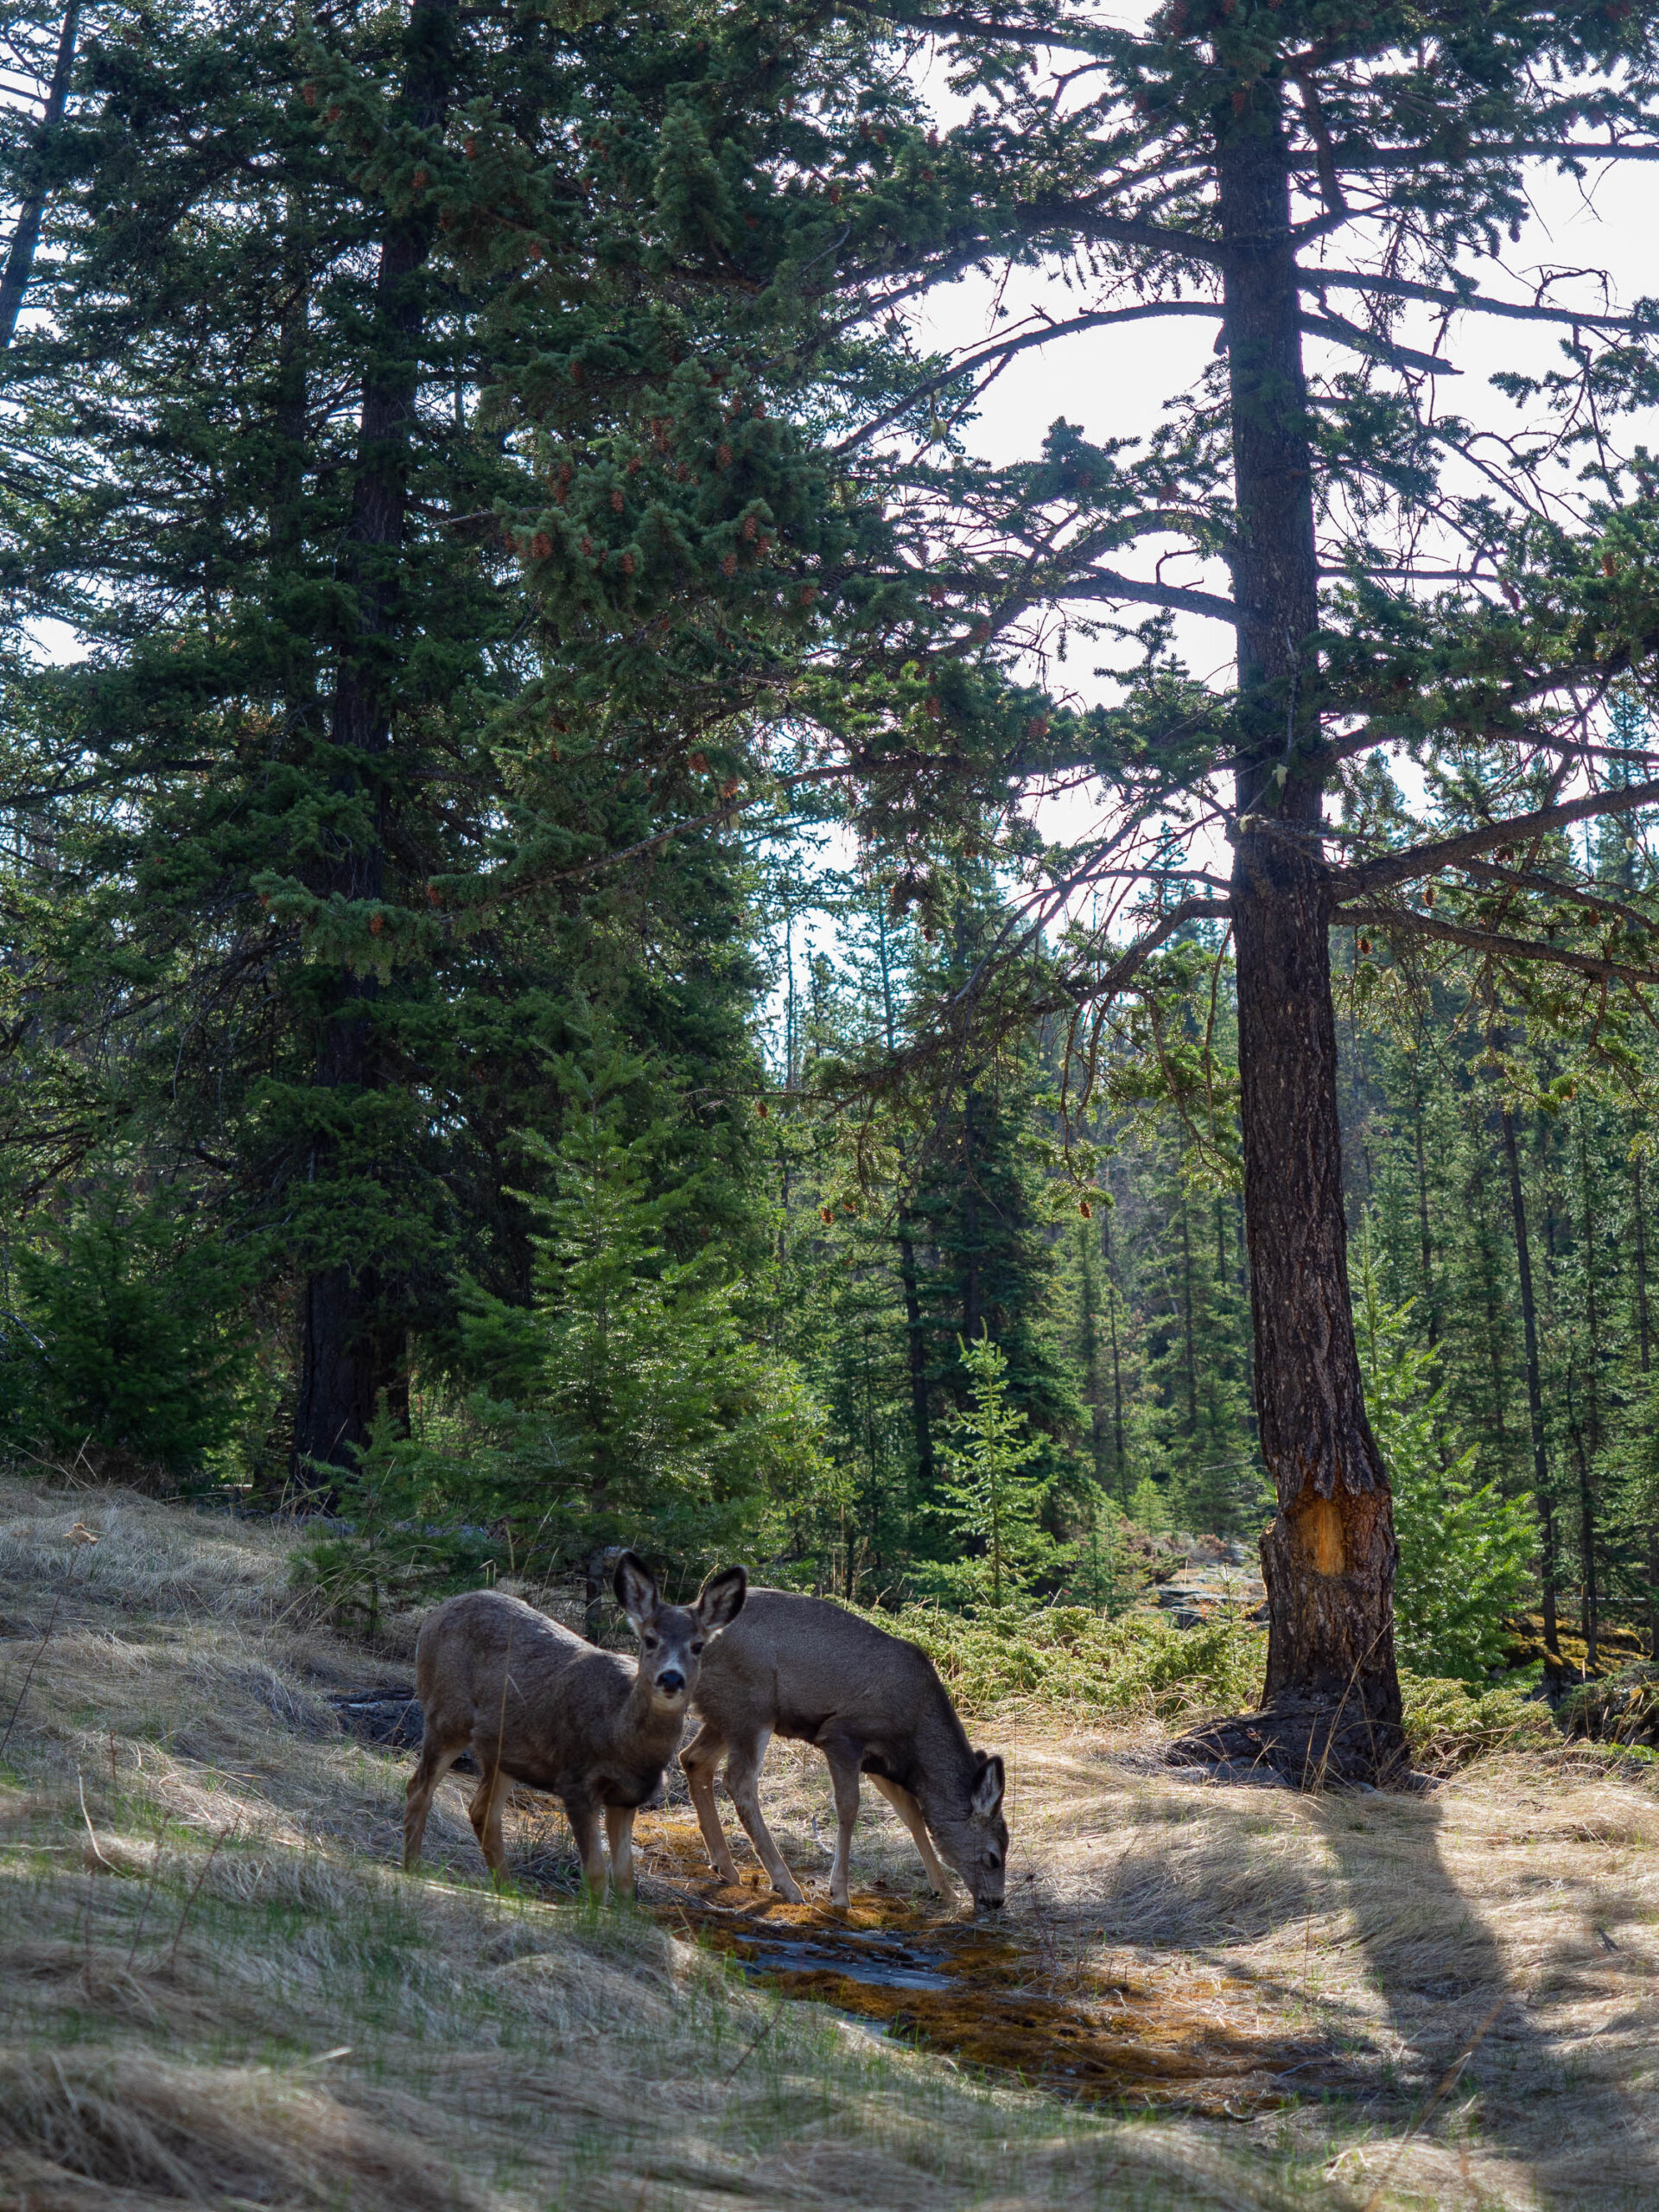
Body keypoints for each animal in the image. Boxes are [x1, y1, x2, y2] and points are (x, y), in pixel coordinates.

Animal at [402, 1548, 747, 1893]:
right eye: (650, 1640)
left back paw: (507, 1889)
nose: (671, 1678)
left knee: (482, 1810)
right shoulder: (577, 1782)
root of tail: (437, 1612)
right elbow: (595, 1873)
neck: (622, 1736)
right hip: (446, 1716)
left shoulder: (627, 1797)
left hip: (504, 1750)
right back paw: (413, 1869)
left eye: (698, 1646)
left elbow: (625, 1878)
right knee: (418, 1788)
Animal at [677, 1592, 1013, 1920]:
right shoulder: (843, 1735)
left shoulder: (880, 1762)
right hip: (751, 1706)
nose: (996, 1901)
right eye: (993, 1857)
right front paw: (839, 1892)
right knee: (738, 1781)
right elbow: (849, 1807)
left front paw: (945, 1890)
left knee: (693, 1759)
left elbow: (911, 1815)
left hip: (724, 1711)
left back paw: (725, 1867)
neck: (914, 1732)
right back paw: (786, 1884)